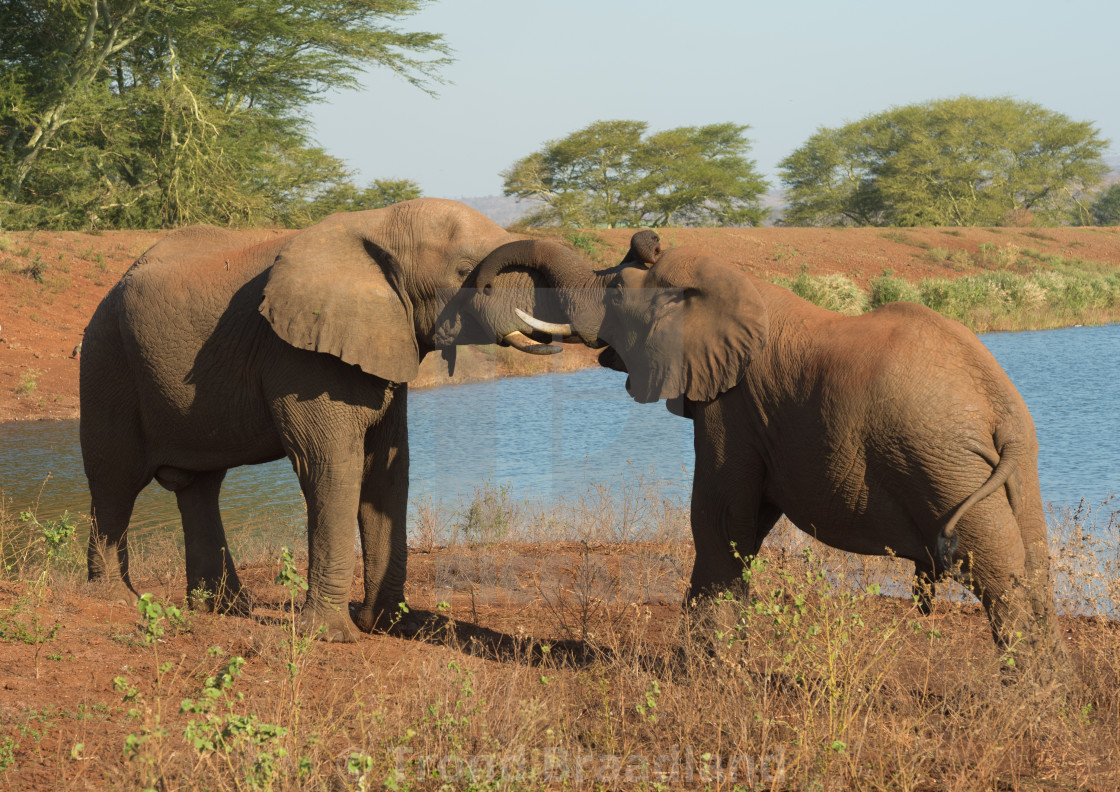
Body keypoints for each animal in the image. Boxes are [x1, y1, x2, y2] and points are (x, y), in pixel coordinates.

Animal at [80, 198, 568, 636]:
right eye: (465, 269)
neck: (377, 223)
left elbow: (386, 471)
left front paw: (393, 626)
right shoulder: (299, 355)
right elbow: (333, 465)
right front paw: (332, 635)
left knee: (200, 487)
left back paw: (226, 608)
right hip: (106, 360)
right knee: (115, 479)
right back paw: (117, 600)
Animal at [470, 234, 1066, 676]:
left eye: (615, 289)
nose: (481, 285)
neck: (725, 280)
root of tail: (1002, 413)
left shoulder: (732, 406)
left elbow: (718, 517)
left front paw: (700, 672)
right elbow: (746, 524)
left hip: (941, 462)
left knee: (998, 574)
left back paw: (1024, 695)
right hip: (1010, 470)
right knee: (1033, 566)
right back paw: (1049, 689)